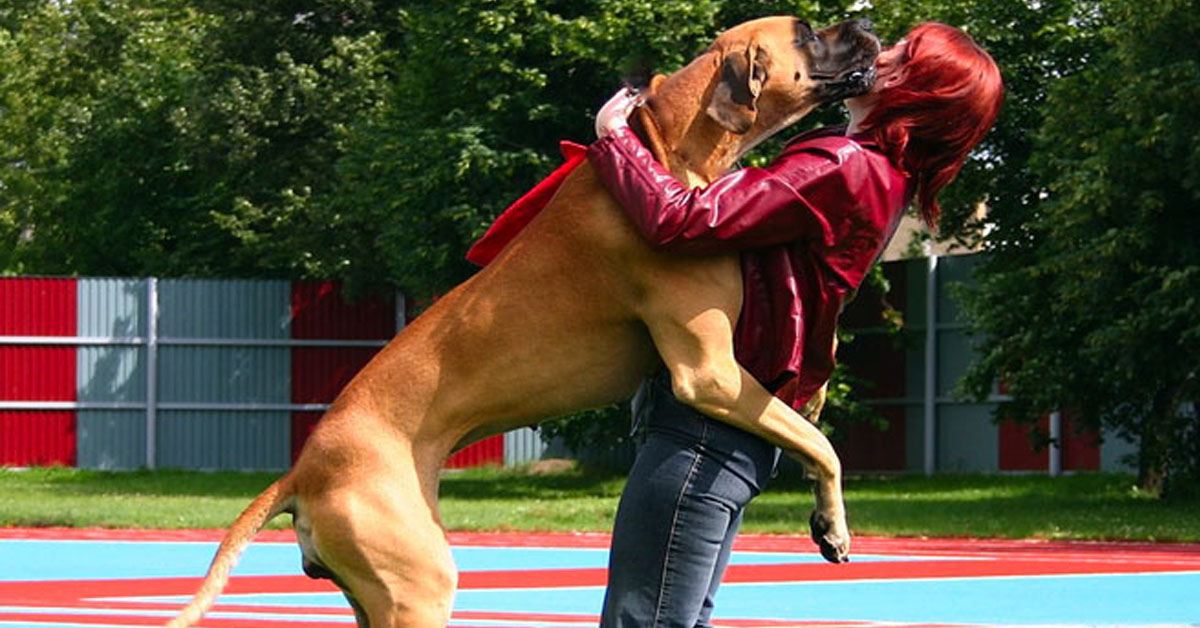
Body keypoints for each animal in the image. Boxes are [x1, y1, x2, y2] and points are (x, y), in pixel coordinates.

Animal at [169, 14, 878, 628]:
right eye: (808, 33)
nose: (868, 22)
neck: (666, 146)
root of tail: (304, 470)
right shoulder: (711, 373)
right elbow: (822, 444)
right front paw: (834, 523)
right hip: (417, 585)